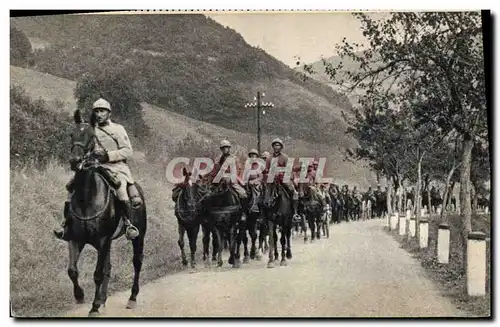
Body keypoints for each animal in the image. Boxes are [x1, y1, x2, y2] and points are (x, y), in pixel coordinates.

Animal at [65, 111, 146, 318]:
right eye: (72, 134)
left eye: (91, 137)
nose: (75, 161)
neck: (87, 198)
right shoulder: (75, 239)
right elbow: (72, 270)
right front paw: (80, 296)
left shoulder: (102, 240)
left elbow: (98, 274)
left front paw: (93, 307)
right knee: (108, 267)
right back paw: (103, 300)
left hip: (138, 236)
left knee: (137, 262)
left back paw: (132, 298)